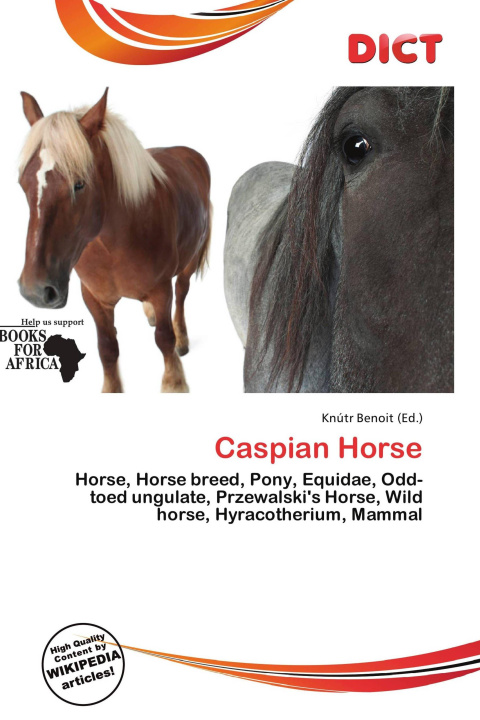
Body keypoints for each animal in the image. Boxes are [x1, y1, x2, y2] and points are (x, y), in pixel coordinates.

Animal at [18, 89, 211, 393]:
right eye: (23, 183)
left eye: (79, 184)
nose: (35, 291)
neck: (112, 246)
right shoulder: (94, 298)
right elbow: (107, 348)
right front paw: (112, 387)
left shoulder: (161, 290)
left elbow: (164, 339)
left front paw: (174, 382)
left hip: (188, 263)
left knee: (181, 294)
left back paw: (182, 337)